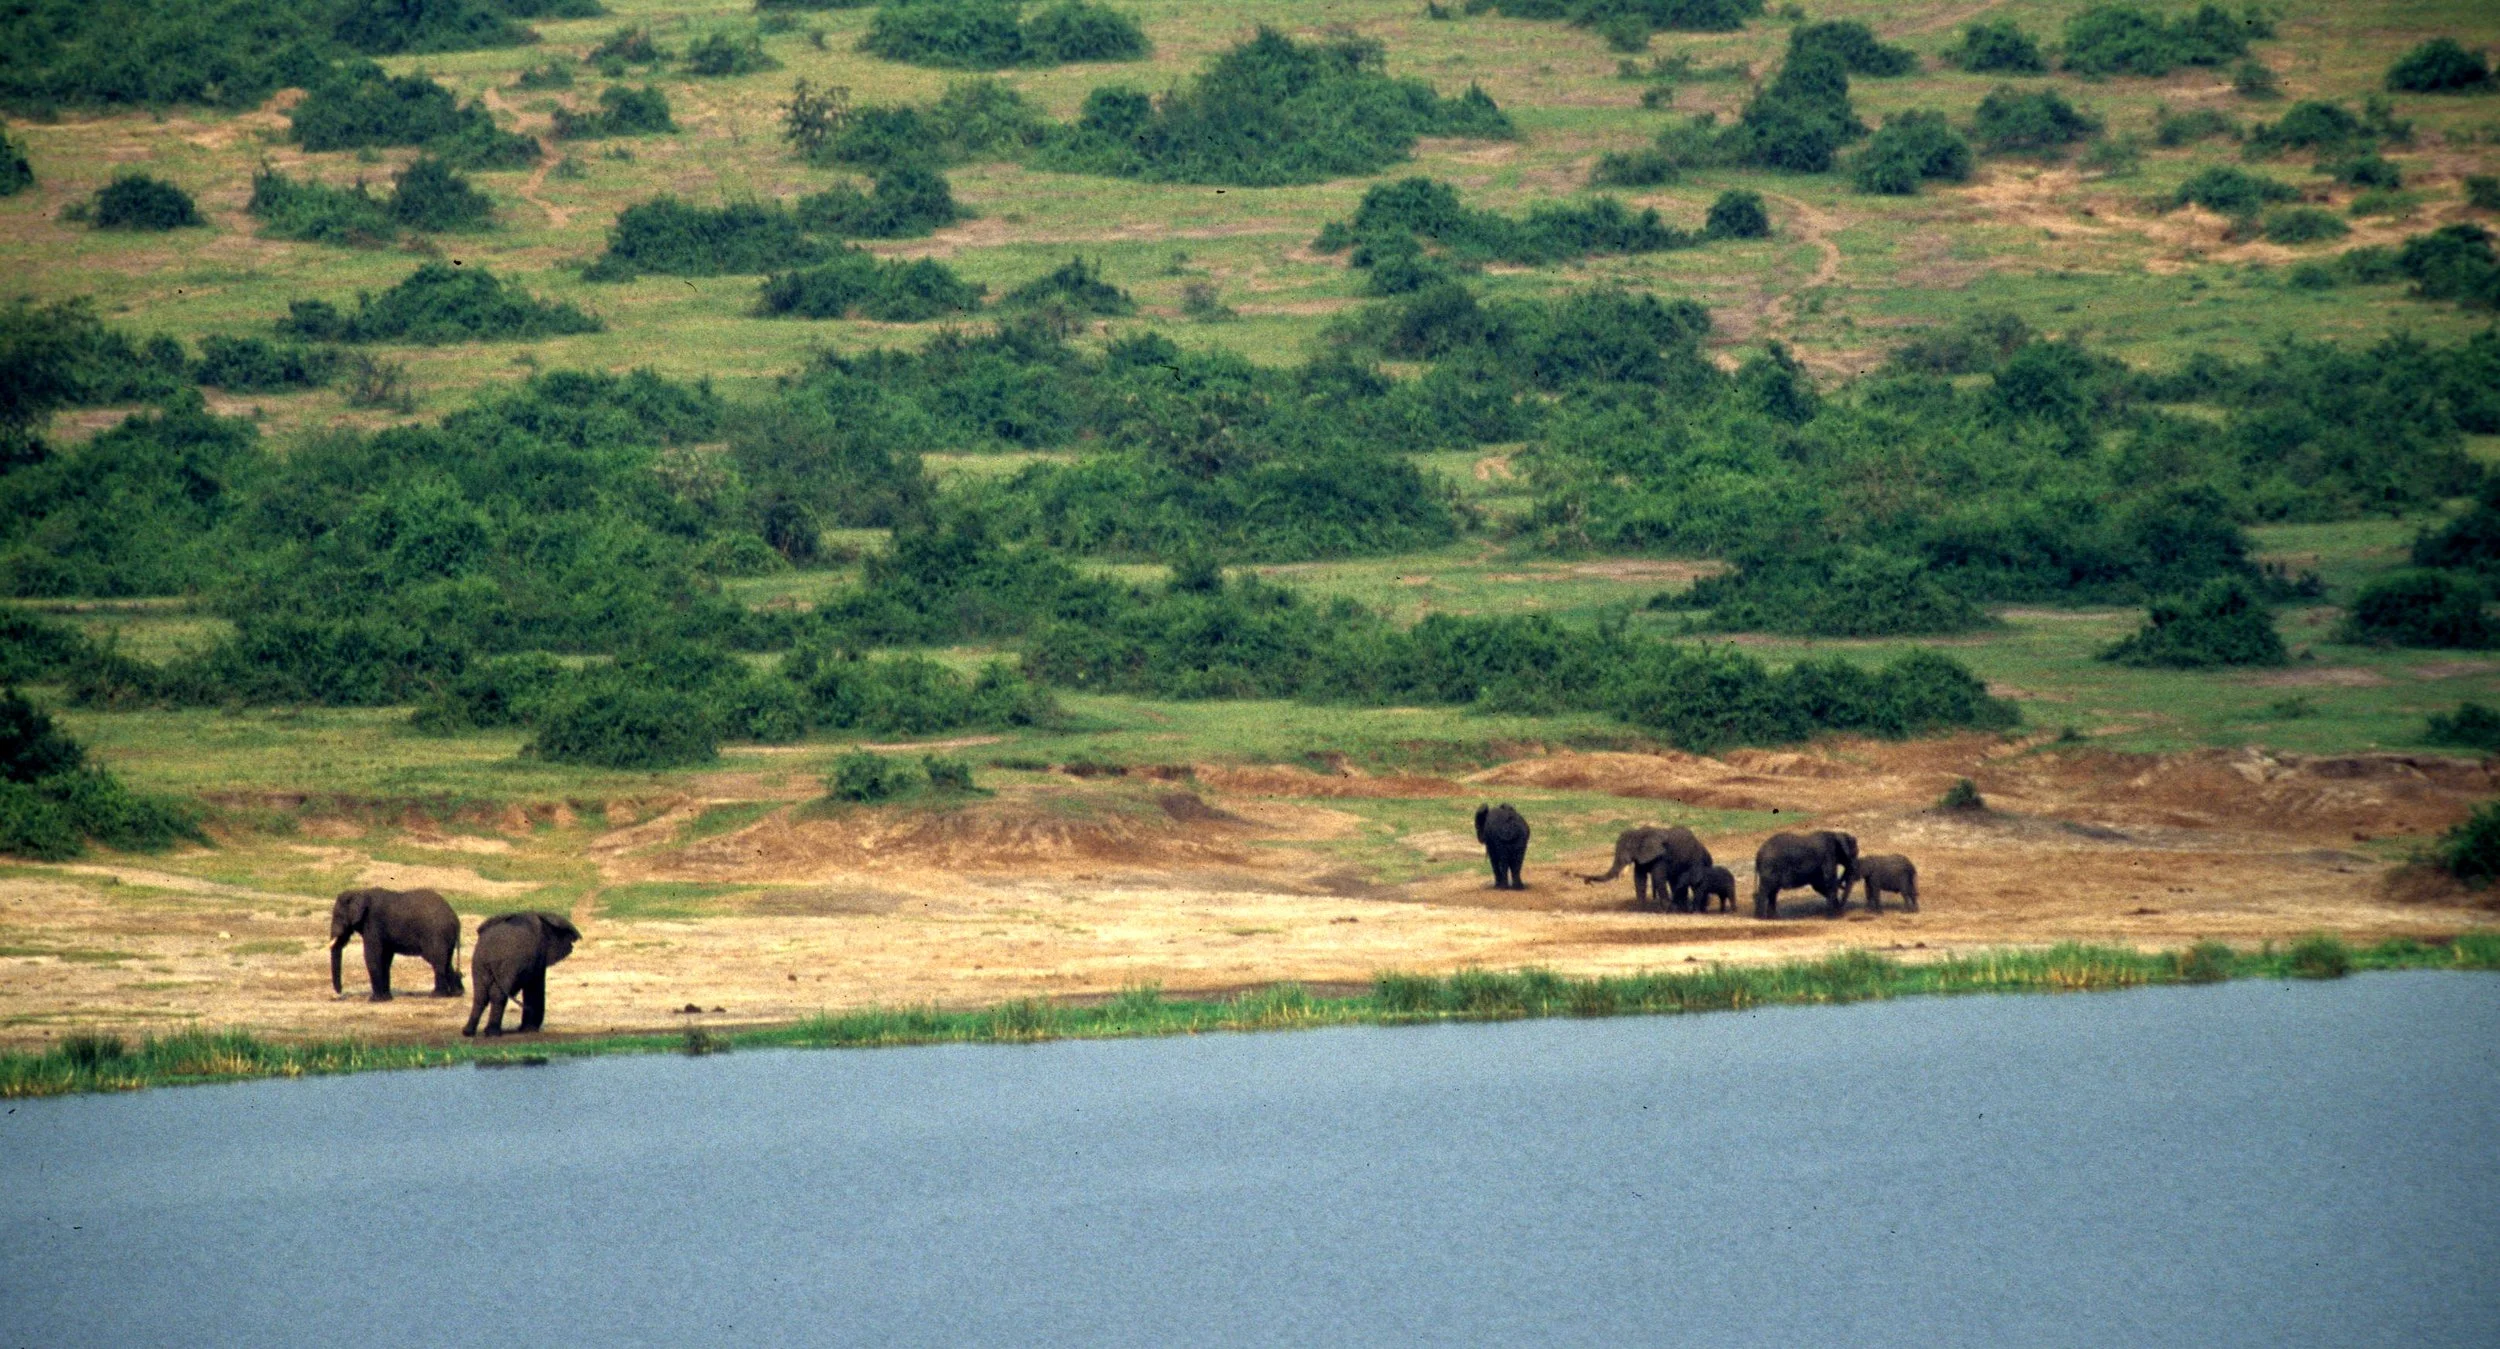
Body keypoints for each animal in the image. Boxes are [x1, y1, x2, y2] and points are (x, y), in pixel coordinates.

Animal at [330, 888, 462, 1001]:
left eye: (338, 916)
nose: (340, 993)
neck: (359, 892)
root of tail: (455, 919)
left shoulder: (373, 924)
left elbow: (372, 956)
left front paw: (375, 1000)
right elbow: (385, 958)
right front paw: (386, 998)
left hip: (435, 934)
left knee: (436, 960)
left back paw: (436, 995)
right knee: (446, 961)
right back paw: (455, 994)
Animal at [1583, 826, 1713, 911]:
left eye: (1628, 848)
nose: (1586, 881)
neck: (1640, 833)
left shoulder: (1661, 857)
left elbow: (1658, 878)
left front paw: (1666, 909)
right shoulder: (1641, 857)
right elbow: (1639, 878)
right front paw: (1640, 908)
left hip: (1696, 860)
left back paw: (1696, 909)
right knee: (1676, 882)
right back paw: (1682, 909)